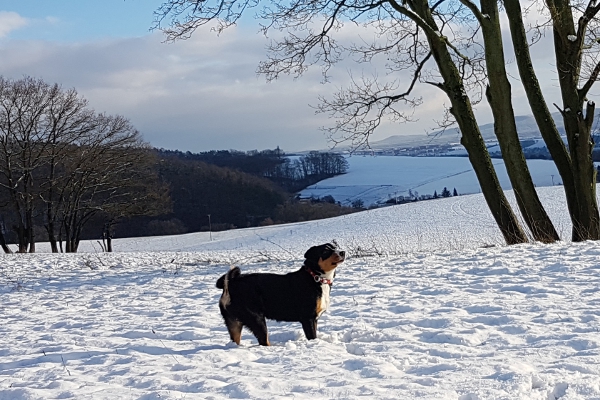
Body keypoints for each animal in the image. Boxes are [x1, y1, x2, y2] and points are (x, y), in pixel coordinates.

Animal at [217, 242, 346, 346]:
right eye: (325, 251)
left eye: (335, 247)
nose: (342, 252)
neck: (315, 277)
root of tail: (232, 282)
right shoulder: (308, 318)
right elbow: (312, 337)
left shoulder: (314, 319)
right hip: (257, 319)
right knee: (264, 341)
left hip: (234, 323)